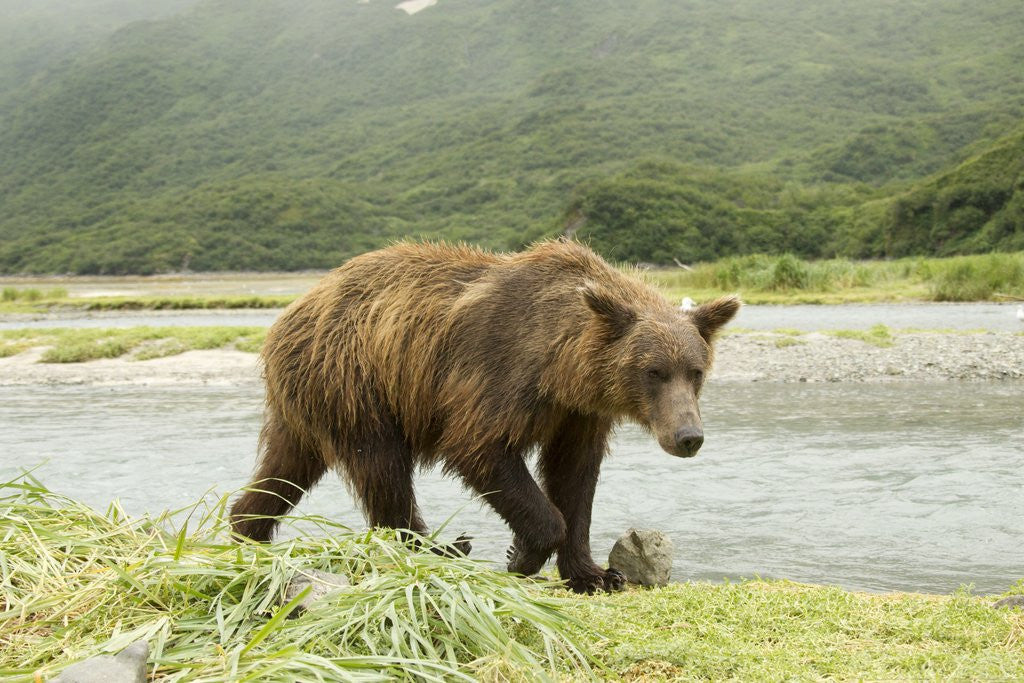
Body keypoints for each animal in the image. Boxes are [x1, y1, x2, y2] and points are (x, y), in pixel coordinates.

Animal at [230, 239, 740, 593]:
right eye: (654, 371)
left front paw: (595, 574)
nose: (688, 436)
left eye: (696, 370)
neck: (563, 366)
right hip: (357, 380)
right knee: (383, 469)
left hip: (309, 401)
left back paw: (246, 529)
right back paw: (439, 547)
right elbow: (480, 448)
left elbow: (575, 478)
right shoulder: (498, 374)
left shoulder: (577, 414)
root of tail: (291, 311)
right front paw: (522, 554)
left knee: (284, 470)